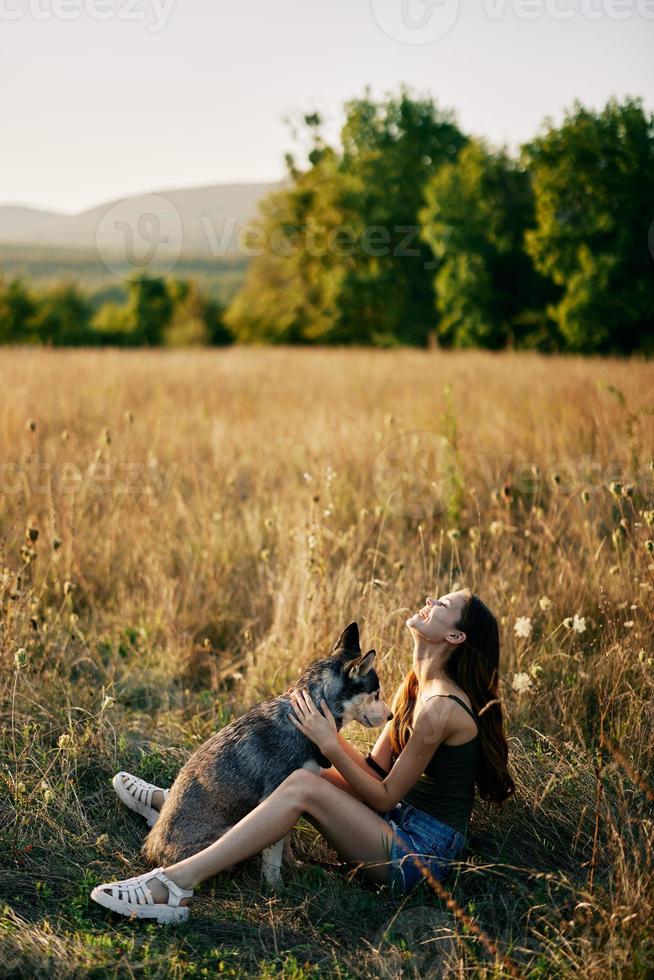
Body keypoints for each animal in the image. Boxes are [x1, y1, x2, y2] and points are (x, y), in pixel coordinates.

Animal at [141, 620, 392, 888]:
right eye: (376, 693)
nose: (391, 716)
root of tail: (152, 850)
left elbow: (285, 842)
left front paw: (292, 867)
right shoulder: (275, 794)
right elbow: (274, 850)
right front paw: (275, 885)